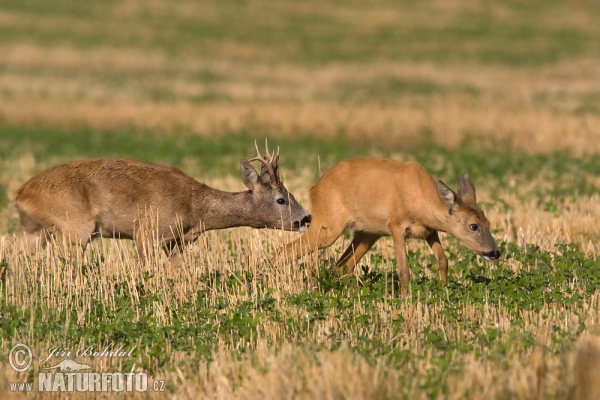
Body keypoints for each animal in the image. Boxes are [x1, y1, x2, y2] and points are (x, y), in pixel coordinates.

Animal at [15, 139, 310, 264]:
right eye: (281, 199)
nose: (306, 217)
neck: (195, 209)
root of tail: (22, 193)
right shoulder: (148, 232)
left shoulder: (176, 242)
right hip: (75, 227)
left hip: (34, 231)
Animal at [282, 158, 502, 296]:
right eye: (473, 226)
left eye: (488, 223)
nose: (494, 252)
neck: (420, 200)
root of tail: (314, 187)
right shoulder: (396, 226)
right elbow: (404, 270)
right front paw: (405, 299)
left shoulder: (430, 231)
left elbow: (443, 260)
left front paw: (445, 290)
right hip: (328, 224)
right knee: (285, 250)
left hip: (368, 232)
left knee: (343, 265)